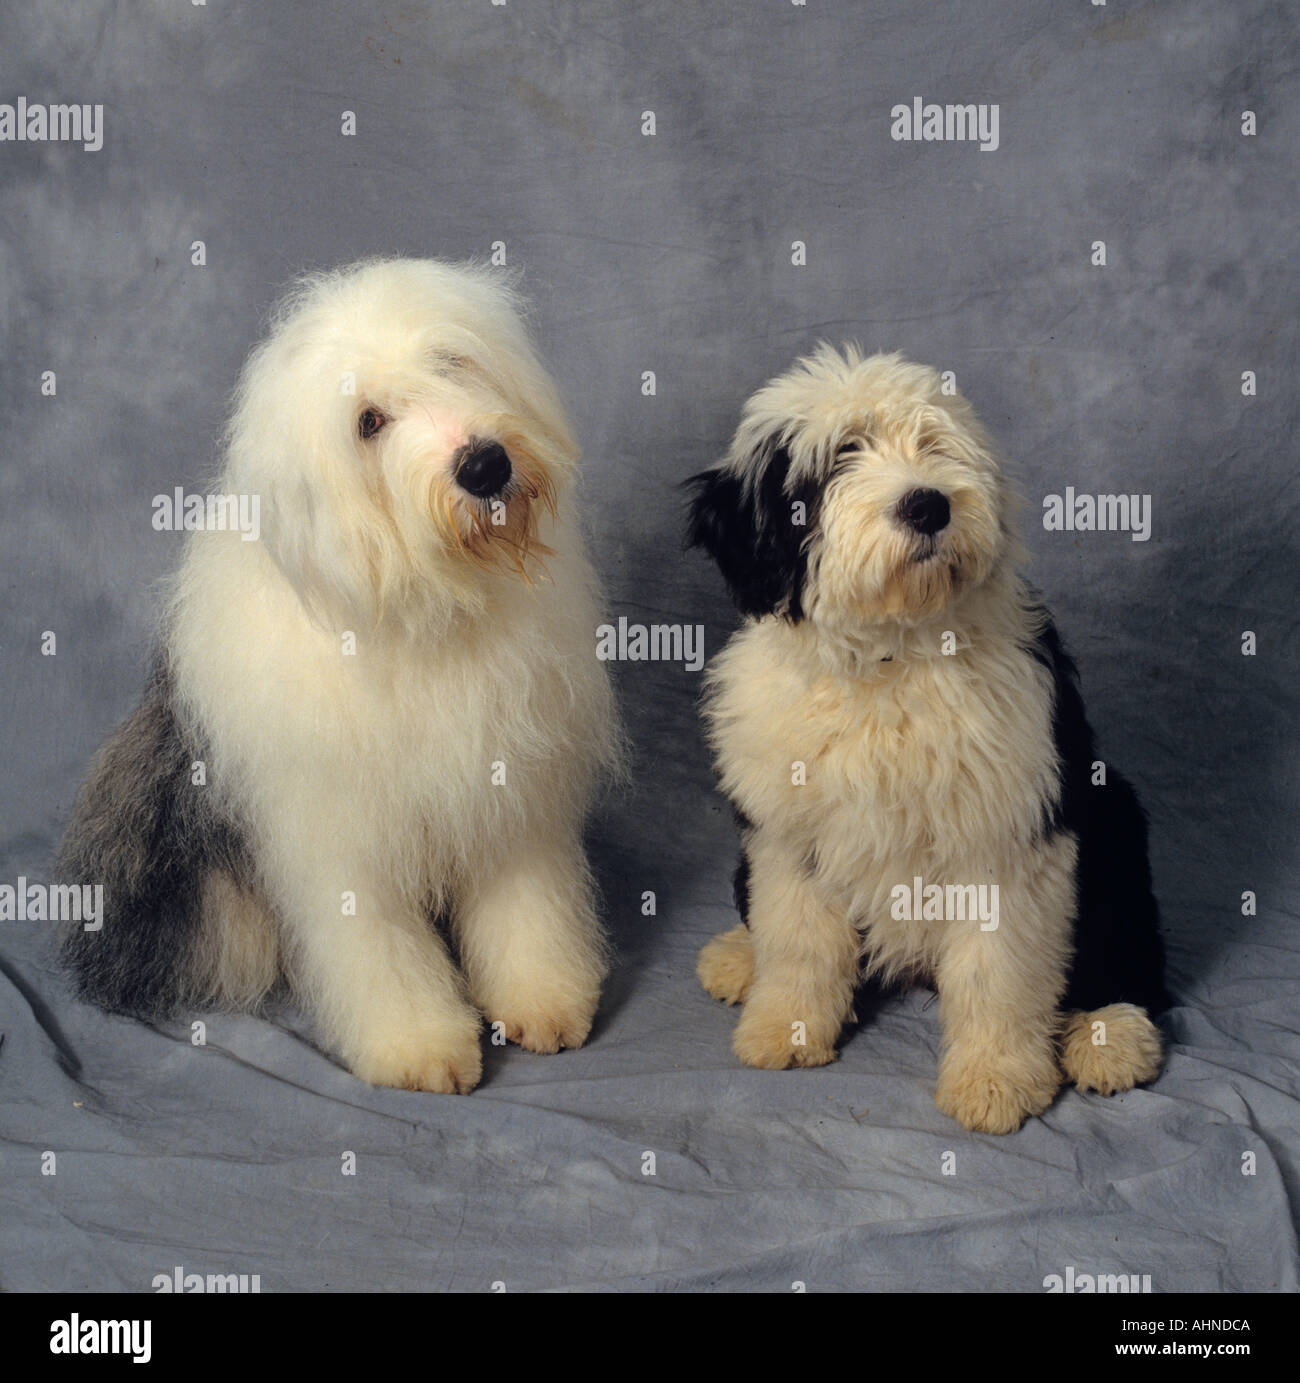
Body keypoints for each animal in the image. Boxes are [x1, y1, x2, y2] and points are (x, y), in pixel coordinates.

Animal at [63, 260, 622, 1095]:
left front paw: (545, 1002)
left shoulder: (509, 793)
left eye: (452, 363)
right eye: (369, 421)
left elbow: (527, 905)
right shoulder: (341, 833)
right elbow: (382, 950)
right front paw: (422, 1045)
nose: (484, 463)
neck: (426, 607)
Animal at [691, 348, 1167, 1134]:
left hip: (1112, 811)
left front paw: (995, 1081)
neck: (893, 656)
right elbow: (797, 939)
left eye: (933, 443)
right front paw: (785, 1028)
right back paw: (737, 956)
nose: (928, 505)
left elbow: (1000, 970)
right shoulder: (791, 831)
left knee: (1123, 940)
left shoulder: (1009, 836)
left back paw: (1112, 1036)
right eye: (841, 455)